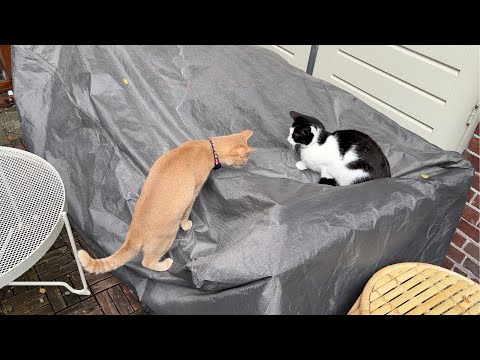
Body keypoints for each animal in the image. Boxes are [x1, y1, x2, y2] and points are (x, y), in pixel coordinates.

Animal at [78, 131, 255, 274]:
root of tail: (135, 231)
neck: (207, 147)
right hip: (167, 237)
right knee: (146, 262)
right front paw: (187, 225)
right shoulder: (193, 193)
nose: (246, 164)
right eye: (245, 158)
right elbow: (186, 214)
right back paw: (165, 264)